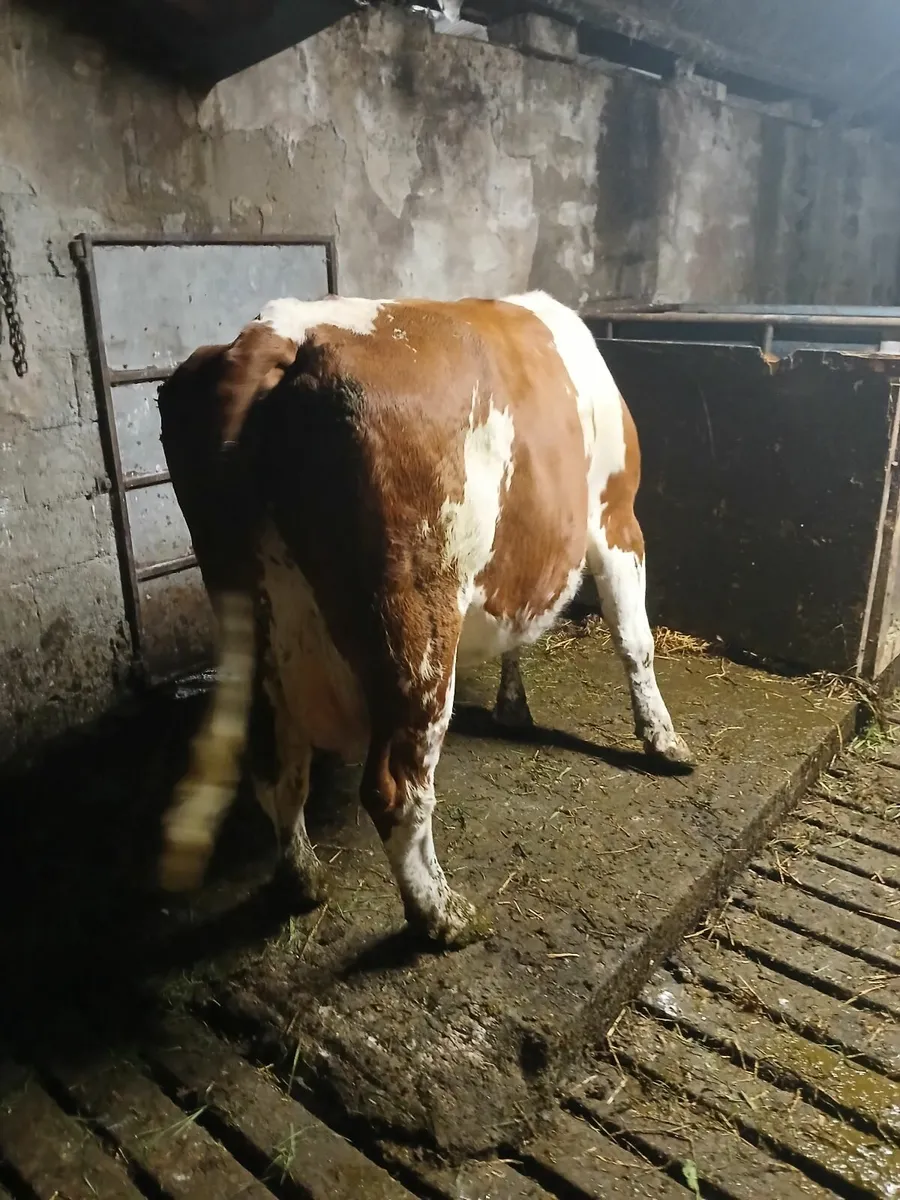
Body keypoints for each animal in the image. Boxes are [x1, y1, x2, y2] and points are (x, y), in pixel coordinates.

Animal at [155, 290, 693, 948]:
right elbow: (636, 639)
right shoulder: (617, 515)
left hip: (260, 620)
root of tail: (279, 330)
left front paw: (513, 707)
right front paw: (663, 741)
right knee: (396, 789)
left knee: (276, 766)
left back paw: (303, 878)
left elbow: (519, 630)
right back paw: (441, 914)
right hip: (416, 625)